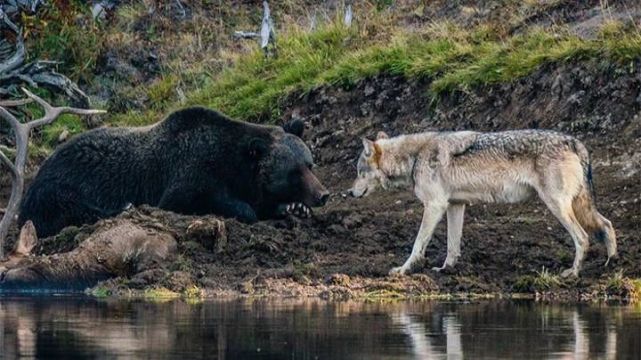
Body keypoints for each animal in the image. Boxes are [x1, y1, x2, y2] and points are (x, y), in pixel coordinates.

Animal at [17, 107, 328, 236]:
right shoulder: (187, 174)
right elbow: (198, 198)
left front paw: (295, 208)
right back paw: (122, 207)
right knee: (72, 207)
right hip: (58, 186)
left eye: (309, 164)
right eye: (294, 171)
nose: (323, 194)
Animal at [350, 130, 616, 278]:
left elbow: (417, 244)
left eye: (359, 172)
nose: (349, 192)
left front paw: (404, 270)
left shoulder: (434, 206)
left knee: (583, 237)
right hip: (577, 206)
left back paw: (573, 273)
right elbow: (452, 246)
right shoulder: (455, 206)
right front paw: (447, 270)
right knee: (607, 225)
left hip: (557, 206)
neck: (415, 157)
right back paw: (611, 264)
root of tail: (574, 142)